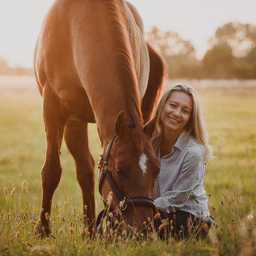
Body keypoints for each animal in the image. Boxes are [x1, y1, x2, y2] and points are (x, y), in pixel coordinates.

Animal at [33, 0, 164, 236]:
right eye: (119, 170)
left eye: (157, 170)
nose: (144, 229)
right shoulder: (52, 107)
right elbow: (51, 171)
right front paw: (43, 230)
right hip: (74, 121)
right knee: (84, 170)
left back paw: (93, 230)